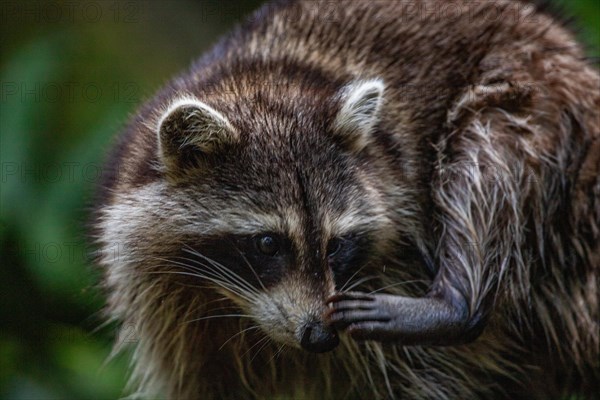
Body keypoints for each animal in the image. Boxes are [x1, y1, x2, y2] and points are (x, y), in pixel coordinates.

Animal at [91, 0, 596, 398]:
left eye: (336, 245)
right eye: (268, 243)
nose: (319, 337)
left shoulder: (397, 261)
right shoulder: (171, 312)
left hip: (536, 102)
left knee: (486, 154)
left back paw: (458, 302)